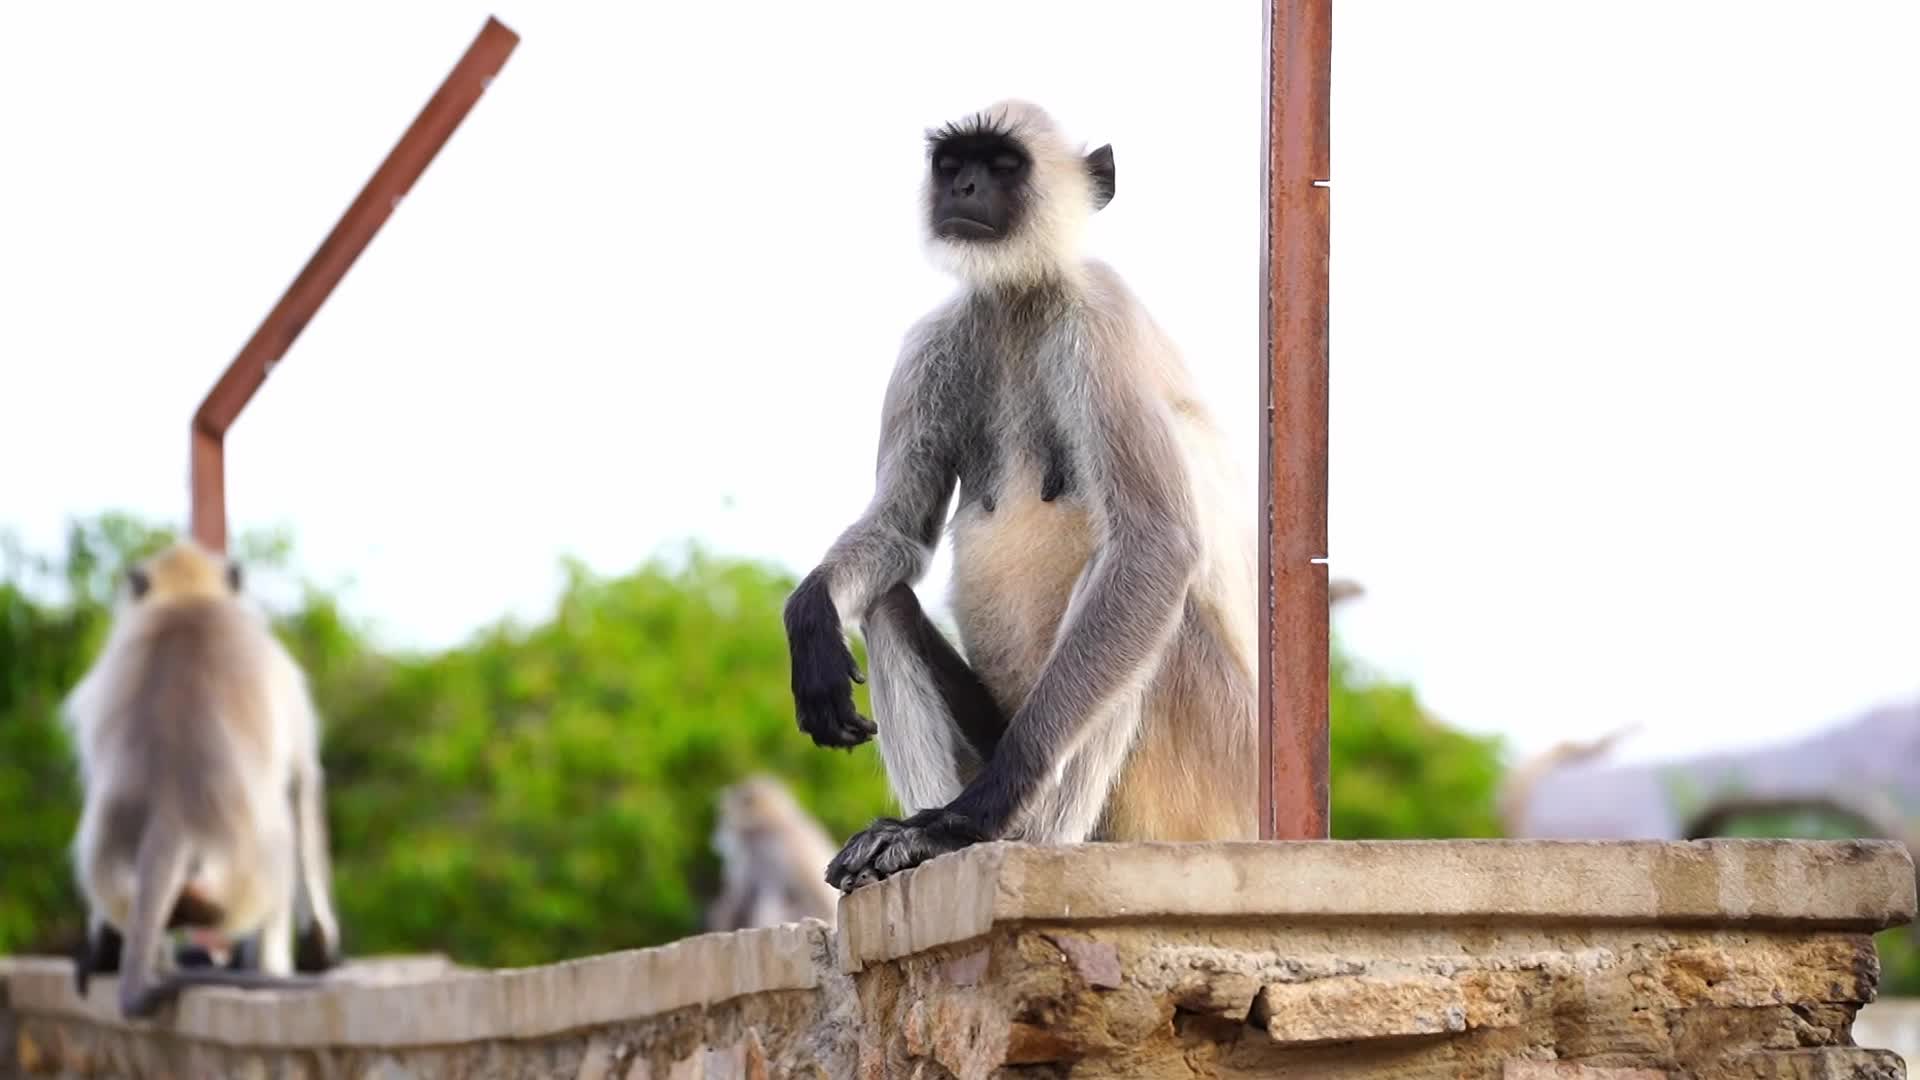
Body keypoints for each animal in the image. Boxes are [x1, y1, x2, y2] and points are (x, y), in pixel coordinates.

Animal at [62, 540, 343, 1018]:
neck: (187, 599)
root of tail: (173, 810)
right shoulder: (282, 670)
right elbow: (302, 780)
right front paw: (322, 945)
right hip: (252, 872)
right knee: (285, 841)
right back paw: (266, 967)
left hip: (112, 871)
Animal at [783, 100, 1258, 893]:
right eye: (954, 164)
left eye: (1003, 165)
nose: (966, 187)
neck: (1020, 299)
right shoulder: (931, 345)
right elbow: (900, 530)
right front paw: (808, 615)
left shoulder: (1102, 321)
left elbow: (1155, 544)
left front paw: (968, 818)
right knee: (885, 600)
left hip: (1204, 781)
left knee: (1153, 597)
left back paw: (990, 834)